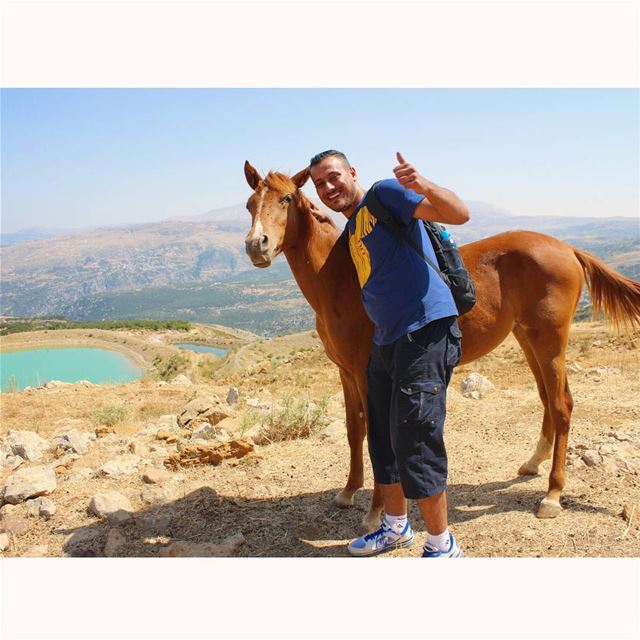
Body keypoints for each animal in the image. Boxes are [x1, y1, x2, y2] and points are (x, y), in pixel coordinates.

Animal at [241, 160, 640, 528]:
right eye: (249, 204)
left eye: (286, 199)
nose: (256, 245)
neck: (341, 282)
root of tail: (568, 248)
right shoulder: (346, 373)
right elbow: (355, 430)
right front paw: (348, 491)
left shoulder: (368, 374)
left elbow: (376, 437)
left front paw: (376, 512)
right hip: (528, 339)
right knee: (548, 399)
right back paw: (532, 463)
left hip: (550, 342)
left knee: (562, 406)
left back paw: (553, 495)